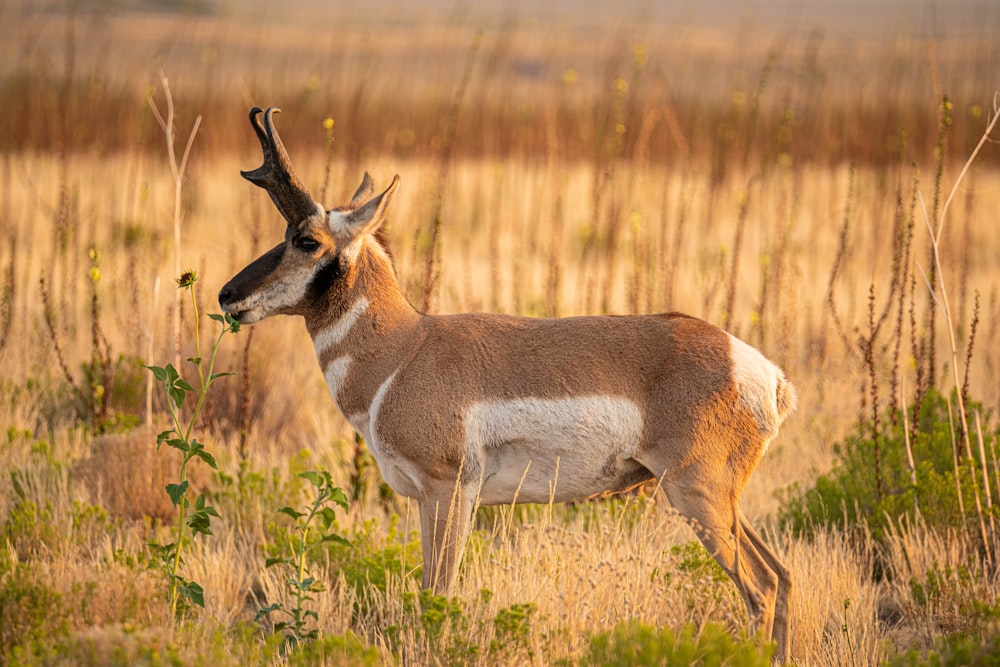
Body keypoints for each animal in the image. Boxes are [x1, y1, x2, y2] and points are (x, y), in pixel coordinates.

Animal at [221, 105, 796, 664]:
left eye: (306, 240)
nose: (228, 295)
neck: (404, 349)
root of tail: (762, 372)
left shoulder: (448, 491)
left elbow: (438, 594)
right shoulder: (424, 498)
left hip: (696, 494)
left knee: (762, 586)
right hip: (716, 500)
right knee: (783, 577)